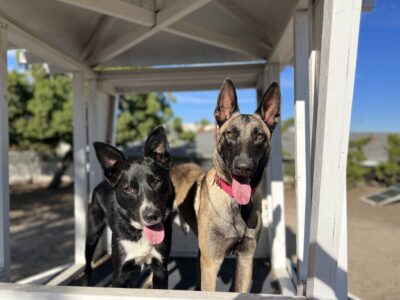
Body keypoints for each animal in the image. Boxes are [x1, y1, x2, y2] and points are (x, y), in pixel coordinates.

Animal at [84, 126, 173, 288]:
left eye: (157, 182)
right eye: (129, 189)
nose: (151, 216)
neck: (140, 232)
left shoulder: (160, 269)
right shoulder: (120, 274)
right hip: (92, 234)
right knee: (88, 266)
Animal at [172, 78, 282, 292]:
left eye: (259, 136)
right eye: (231, 133)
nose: (243, 167)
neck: (236, 205)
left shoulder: (245, 259)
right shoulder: (212, 263)